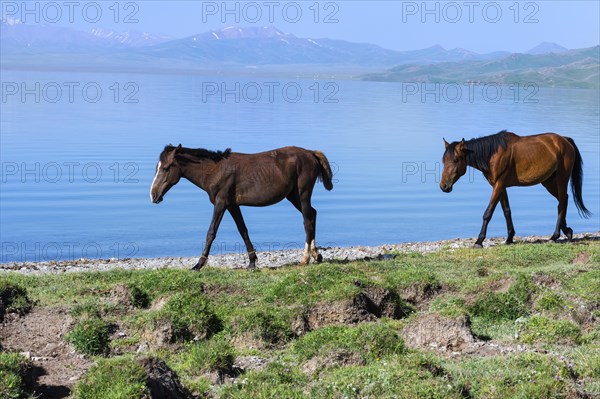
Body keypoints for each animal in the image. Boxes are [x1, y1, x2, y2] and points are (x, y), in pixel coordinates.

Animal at [150, 145, 336, 270]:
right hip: (293, 196)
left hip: (303, 193)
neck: (215, 171)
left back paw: (305, 259)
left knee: (307, 222)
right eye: (157, 168)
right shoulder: (232, 205)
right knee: (312, 214)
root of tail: (310, 153)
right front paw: (252, 262)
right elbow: (243, 230)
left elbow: (211, 232)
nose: (153, 195)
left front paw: (199, 264)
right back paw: (316, 254)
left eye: (166, 168)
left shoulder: (221, 203)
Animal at [440, 131, 592, 247]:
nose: (444, 186)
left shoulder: (499, 185)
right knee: (563, 199)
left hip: (561, 178)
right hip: (548, 181)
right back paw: (567, 231)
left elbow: (488, 213)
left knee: (562, 203)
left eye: (455, 160)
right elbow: (507, 211)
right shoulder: (500, 187)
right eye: (443, 161)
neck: (492, 154)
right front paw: (509, 238)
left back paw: (555, 236)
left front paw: (479, 241)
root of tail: (565, 141)